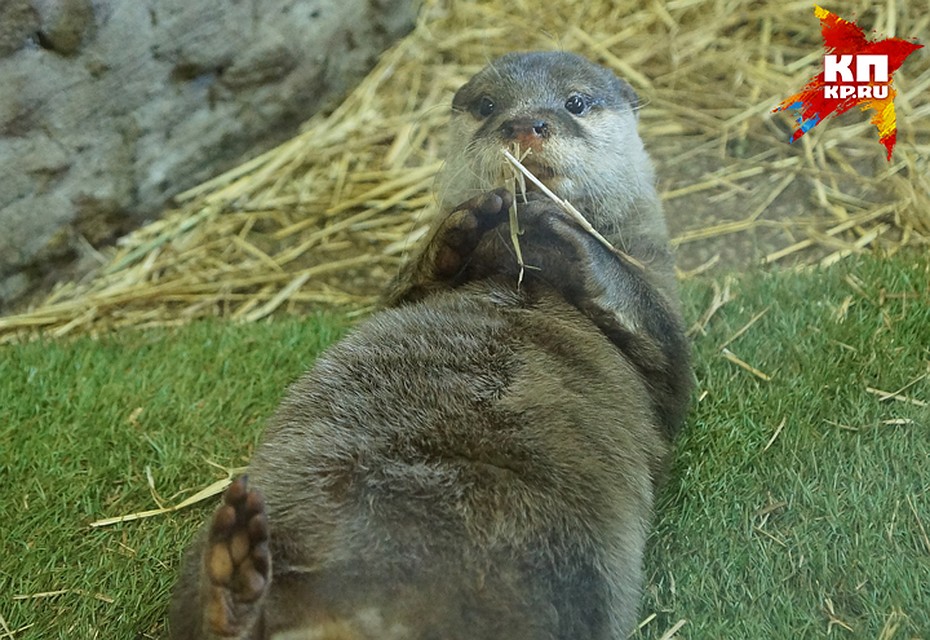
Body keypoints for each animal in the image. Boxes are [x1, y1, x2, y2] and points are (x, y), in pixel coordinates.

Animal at [169, 52, 688, 640]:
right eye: (488, 105)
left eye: (575, 102)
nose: (523, 125)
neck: (522, 275)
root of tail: (359, 614)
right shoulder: (398, 296)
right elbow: (405, 290)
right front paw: (466, 222)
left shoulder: (660, 295)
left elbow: (659, 348)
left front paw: (557, 225)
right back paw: (232, 571)